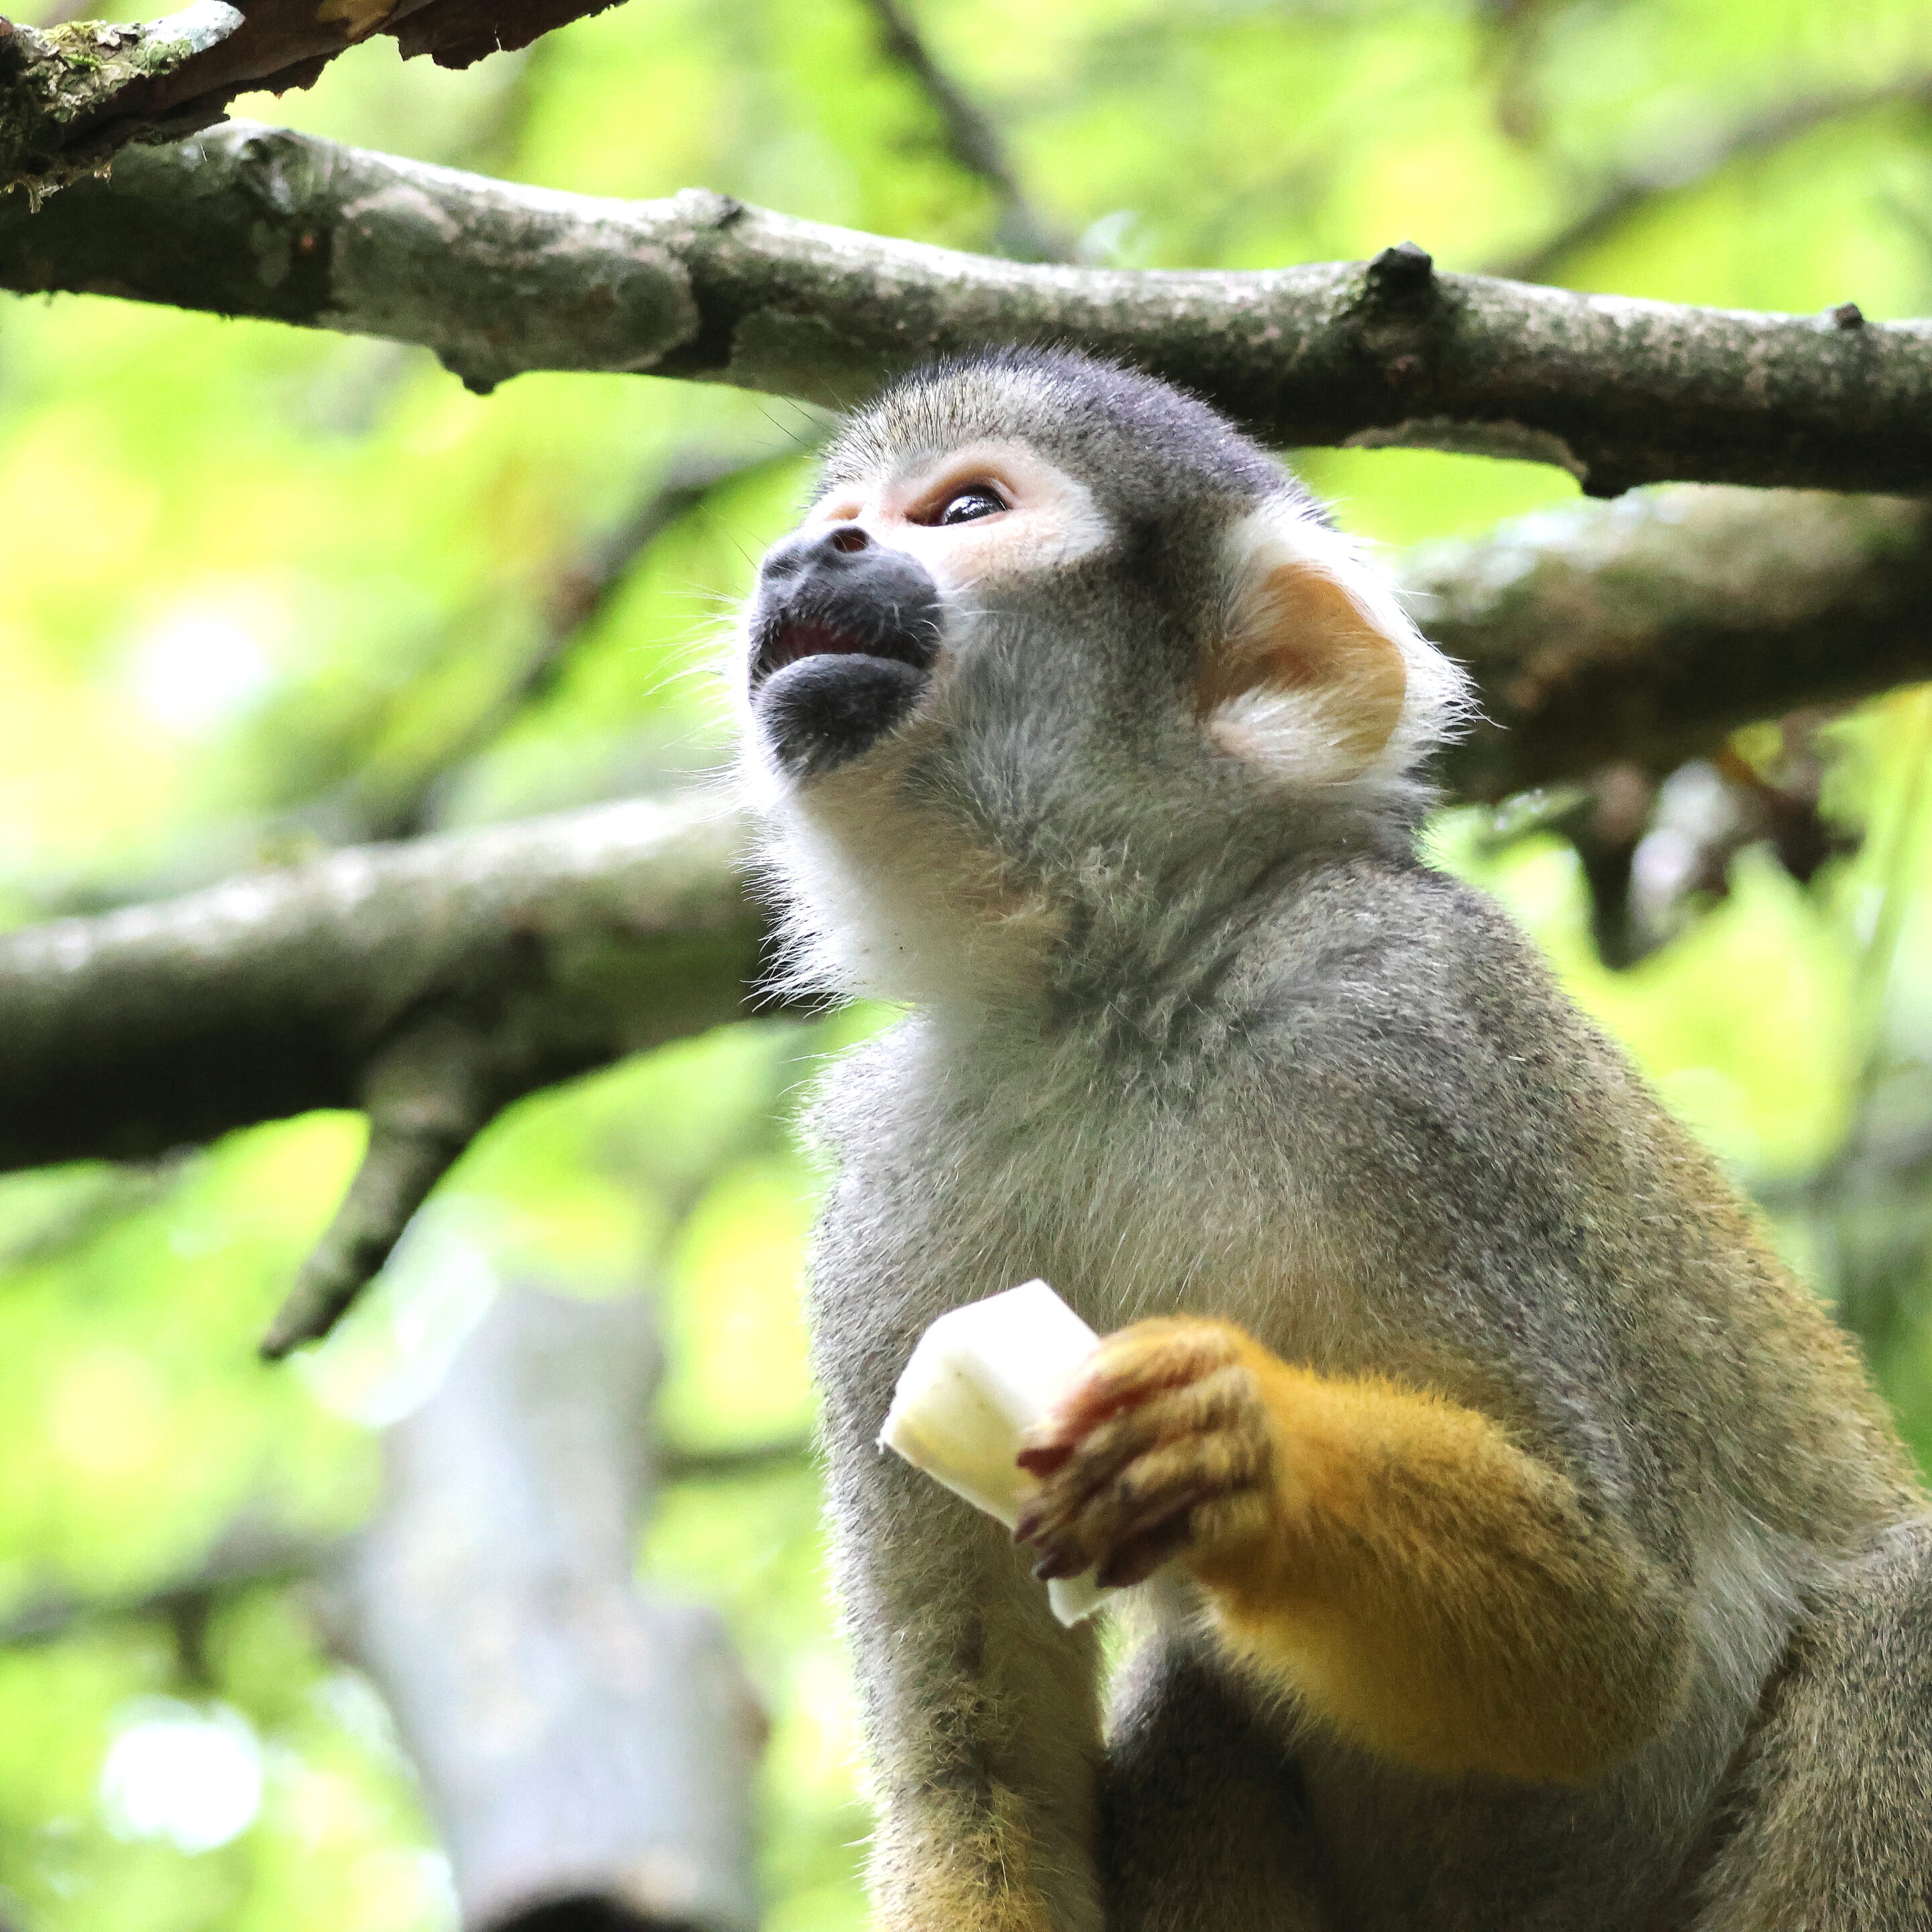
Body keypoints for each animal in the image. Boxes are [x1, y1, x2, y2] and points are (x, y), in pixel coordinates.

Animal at [733, 345, 1932, 1932]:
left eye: (966, 509)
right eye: (838, 519)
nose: (807, 555)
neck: (1123, 1001)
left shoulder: (1409, 1037)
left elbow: (1611, 1638)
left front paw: (1242, 1456)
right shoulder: (886, 1215)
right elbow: (980, 1785)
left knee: (1905, 1613)